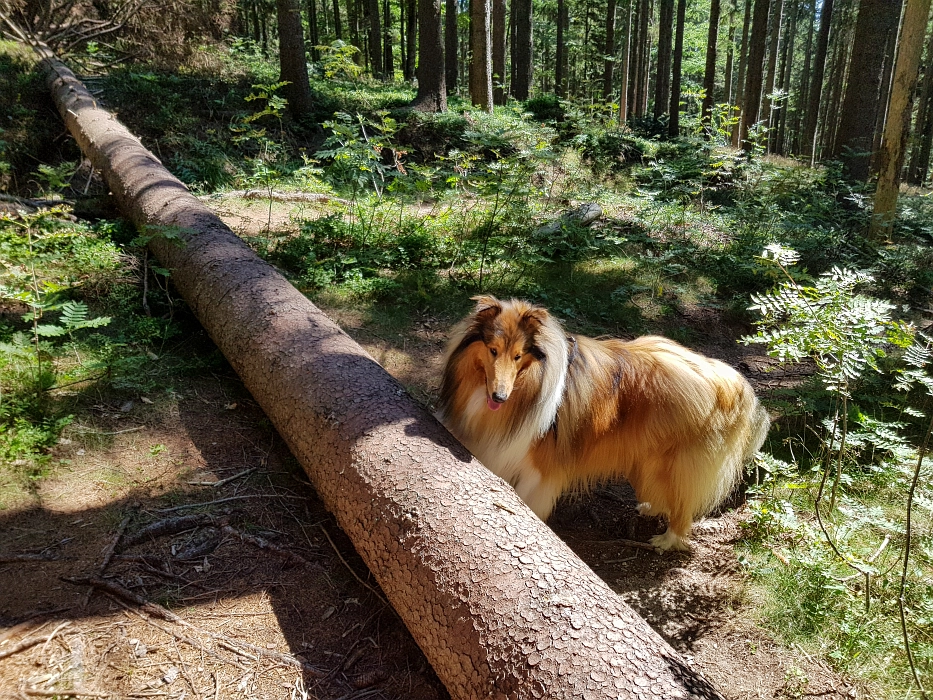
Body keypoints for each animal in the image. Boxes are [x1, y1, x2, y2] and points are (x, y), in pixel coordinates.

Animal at [440, 296, 768, 552]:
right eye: (493, 350)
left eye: (518, 355)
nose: (499, 396)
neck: (532, 382)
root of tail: (731, 380)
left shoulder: (539, 468)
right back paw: (651, 506)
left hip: (679, 461)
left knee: (684, 504)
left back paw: (668, 539)